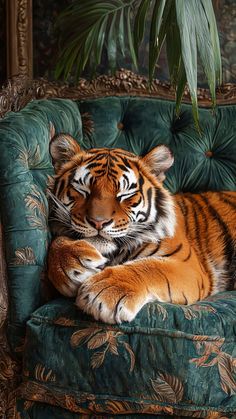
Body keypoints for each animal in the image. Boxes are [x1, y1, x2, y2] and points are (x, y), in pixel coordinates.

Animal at [48, 135, 236, 324]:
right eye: (82, 190)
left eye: (124, 195)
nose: (98, 222)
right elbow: (56, 242)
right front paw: (70, 267)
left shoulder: (188, 266)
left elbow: (151, 267)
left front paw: (104, 292)